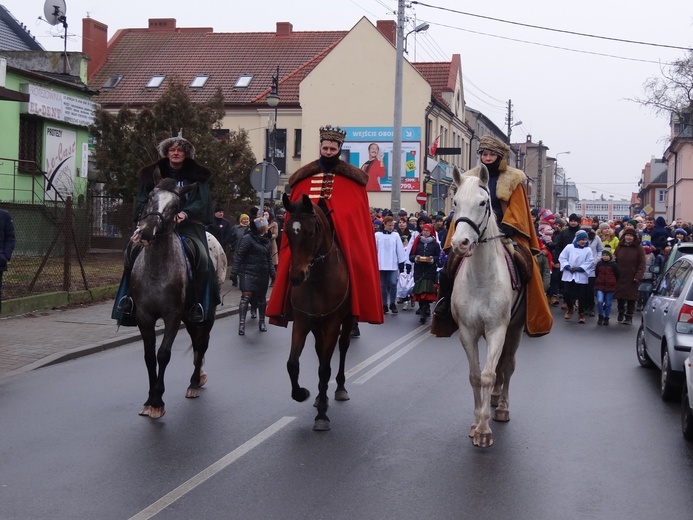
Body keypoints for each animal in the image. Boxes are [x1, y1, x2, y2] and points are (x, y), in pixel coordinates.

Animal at [128, 175, 218, 418]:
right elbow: (149, 356)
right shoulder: (143, 316)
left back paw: (194, 383)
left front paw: (157, 401)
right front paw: (149, 399)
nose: (147, 231)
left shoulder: (173, 315)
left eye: (176, 206)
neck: (156, 269)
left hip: (205, 313)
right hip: (189, 316)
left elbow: (163, 354)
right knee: (196, 341)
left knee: (202, 342)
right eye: (150, 196)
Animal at [280, 194, 352, 430]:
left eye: (310, 233)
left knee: (343, 347)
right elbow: (292, 364)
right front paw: (301, 393)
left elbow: (324, 369)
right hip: (316, 327)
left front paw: (321, 416)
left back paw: (339, 388)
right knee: (320, 352)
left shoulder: (333, 324)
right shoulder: (302, 323)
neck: (318, 279)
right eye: (287, 232)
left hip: (347, 320)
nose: (296, 277)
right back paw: (322, 396)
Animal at [448, 166, 524, 446]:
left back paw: (501, 407)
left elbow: (489, 375)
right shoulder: (467, 332)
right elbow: (475, 376)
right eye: (455, 202)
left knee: (508, 366)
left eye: (483, 203)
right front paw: (475, 424)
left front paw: (483, 430)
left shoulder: (497, 330)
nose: (460, 244)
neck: (481, 278)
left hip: (515, 330)